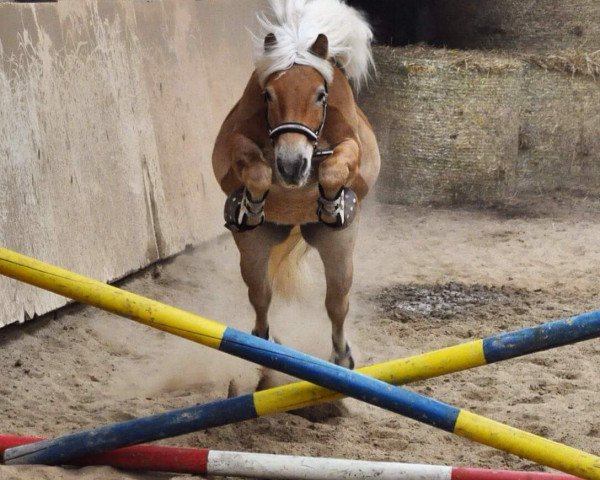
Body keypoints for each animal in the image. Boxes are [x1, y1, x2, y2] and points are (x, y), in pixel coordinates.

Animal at [212, 0, 380, 372]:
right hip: (254, 248)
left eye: (320, 95)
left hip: (338, 247)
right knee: (261, 297)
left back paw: (341, 356)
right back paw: (265, 351)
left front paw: (334, 203)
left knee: (336, 302)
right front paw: (249, 205)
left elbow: (335, 167)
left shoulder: (353, 147)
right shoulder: (233, 143)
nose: (291, 166)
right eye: (268, 95)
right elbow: (255, 169)